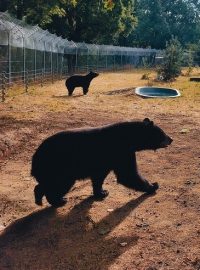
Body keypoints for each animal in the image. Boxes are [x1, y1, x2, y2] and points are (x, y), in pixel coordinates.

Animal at [30, 118, 172, 207]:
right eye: (162, 133)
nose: (171, 139)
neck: (129, 138)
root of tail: (35, 158)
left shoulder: (105, 161)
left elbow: (99, 177)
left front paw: (101, 192)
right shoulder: (121, 151)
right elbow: (127, 174)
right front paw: (153, 186)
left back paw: (40, 199)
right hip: (58, 166)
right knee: (58, 185)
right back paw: (58, 201)